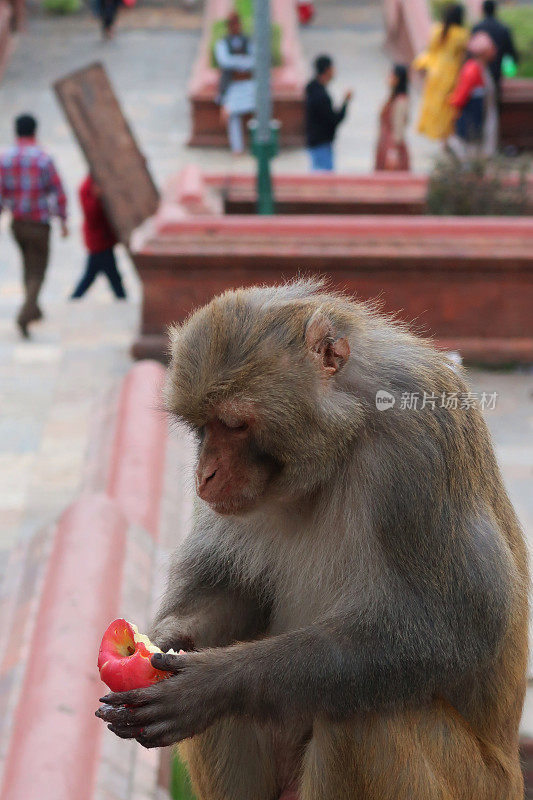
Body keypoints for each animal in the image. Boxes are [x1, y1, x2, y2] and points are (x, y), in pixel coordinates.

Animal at [98, 280, 528, 800]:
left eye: (234, 424)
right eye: (202, 426)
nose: (205, 476)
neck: (343, 439)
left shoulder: (421, 449)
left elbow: (452, 626)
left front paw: (214, 684)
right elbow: (235, 590)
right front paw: (169, 637)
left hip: (475, 784)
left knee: (366, 717)